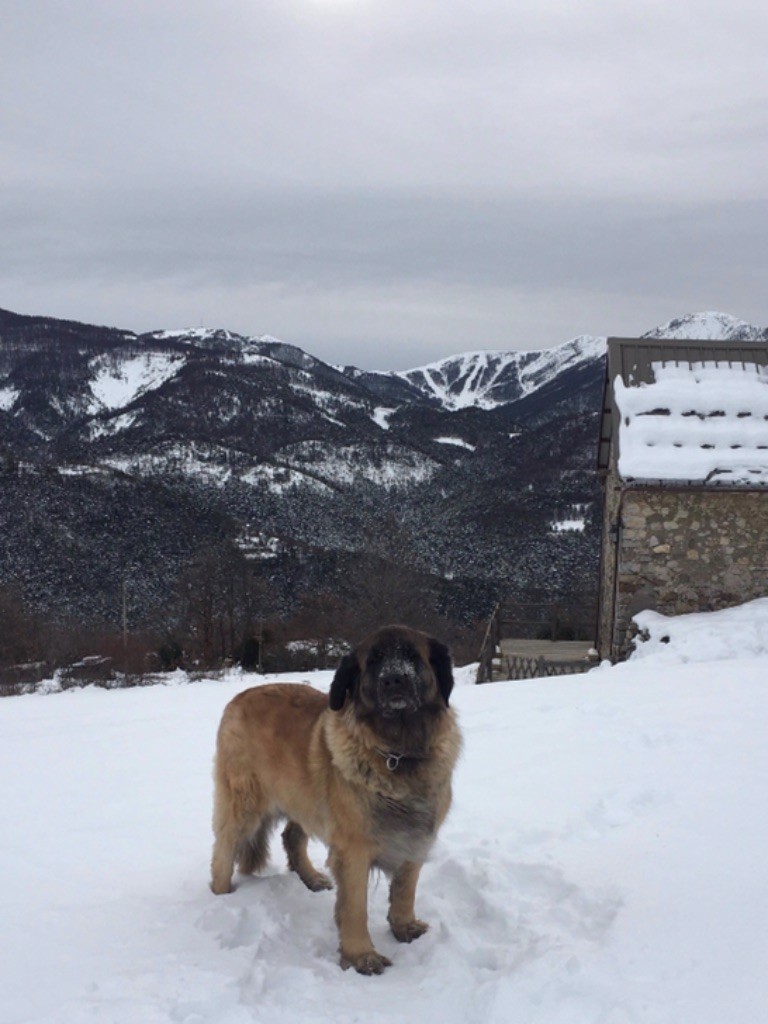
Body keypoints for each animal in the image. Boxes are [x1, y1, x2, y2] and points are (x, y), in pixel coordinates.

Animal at [210, 622, 460, 974]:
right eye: (373, 661)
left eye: (413, 655)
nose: (394, 679)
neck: (398, 753)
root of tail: (239, 697)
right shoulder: (353, 848)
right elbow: (355, 907)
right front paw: (361, 955)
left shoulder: (415, 837)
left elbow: (405, 890)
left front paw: (404, 926)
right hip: (244, 804)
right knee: (224, 848)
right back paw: (222, 897)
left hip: (304, 797)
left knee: (291, 836)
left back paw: (312, 879)